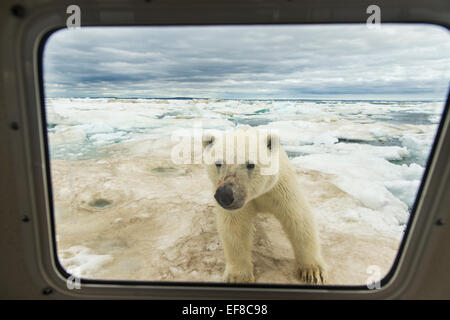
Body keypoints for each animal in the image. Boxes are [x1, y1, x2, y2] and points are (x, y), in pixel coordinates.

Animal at [202, 126, 326, 284]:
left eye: (250, 164)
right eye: (218, 163)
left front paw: (312, 272)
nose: (225, 195)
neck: (257, 194)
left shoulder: (279, 188)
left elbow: (297, 218)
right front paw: (238, 277)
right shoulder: (239, 205)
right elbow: (235, 227)